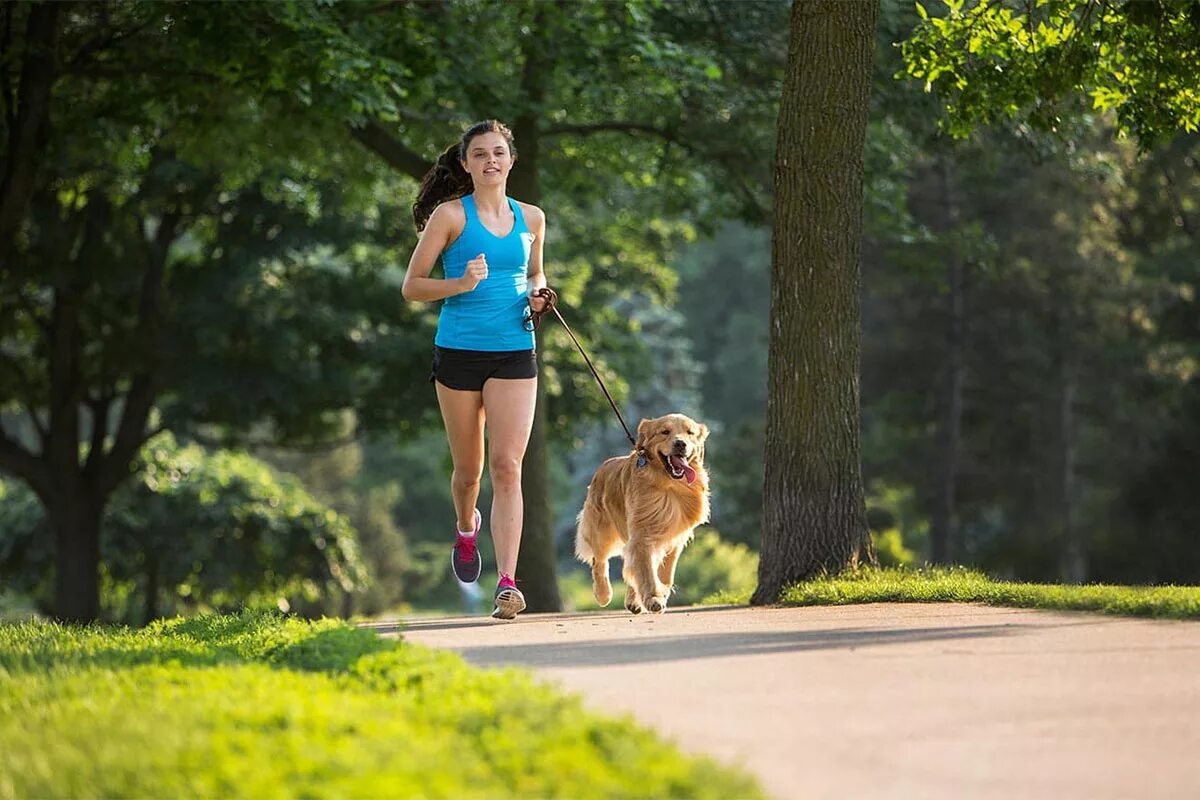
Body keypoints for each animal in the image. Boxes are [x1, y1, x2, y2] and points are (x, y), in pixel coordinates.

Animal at [573, 412, 705, 614]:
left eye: (690, 432)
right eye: (664, 432)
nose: (680, 444)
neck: (669, 486)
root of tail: (602, 466)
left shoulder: (675, 537)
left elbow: (665, 572)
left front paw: (660, 593)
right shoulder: (642, 533)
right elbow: (645, 570)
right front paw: (653, 598)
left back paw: (633, 601)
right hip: (602, 531)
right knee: (599, 561)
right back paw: (603, 594)